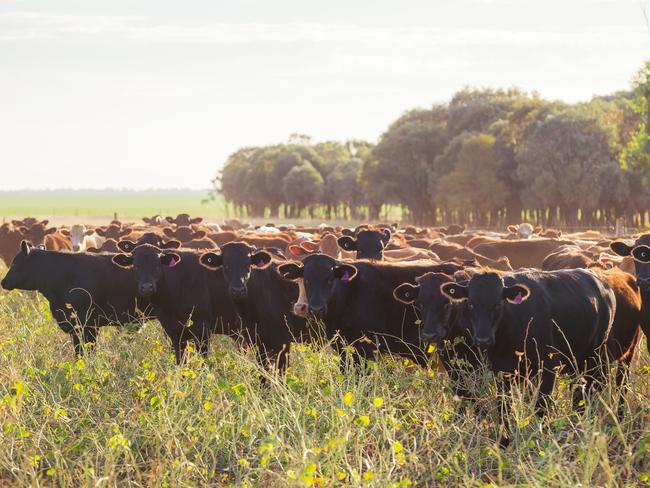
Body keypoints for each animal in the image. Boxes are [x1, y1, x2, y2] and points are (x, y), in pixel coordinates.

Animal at [110, 244, 239, 362]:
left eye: (157, 265)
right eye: (136, 266)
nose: (147, 287)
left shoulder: (202, 330)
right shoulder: (172, 331)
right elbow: (179, 359)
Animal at [440, 270, 612, 446]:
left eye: (498, 305)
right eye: (471, 304)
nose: (483, 339)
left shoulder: (548, 367)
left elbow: (541, 406)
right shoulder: (502, 371)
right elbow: (503, 405)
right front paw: (504, 439)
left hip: (595, 356)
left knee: (592, 388)